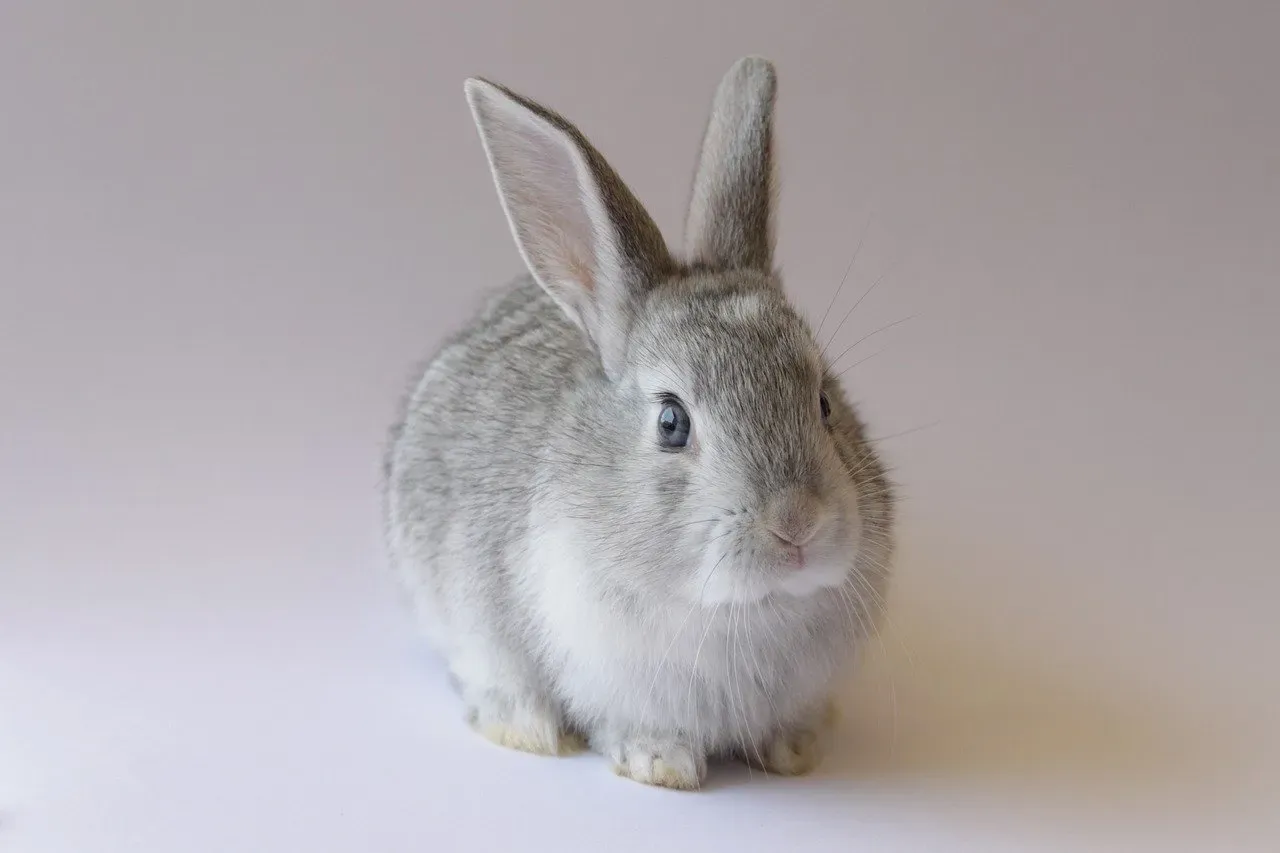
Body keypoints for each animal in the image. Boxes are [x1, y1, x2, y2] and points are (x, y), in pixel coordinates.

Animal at [383, 56, 894, 790]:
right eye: (672, 422)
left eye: (824, 400)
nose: (796, 521)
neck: (743, 606)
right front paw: (662, 764)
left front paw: (798, 750)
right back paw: (528, 729)